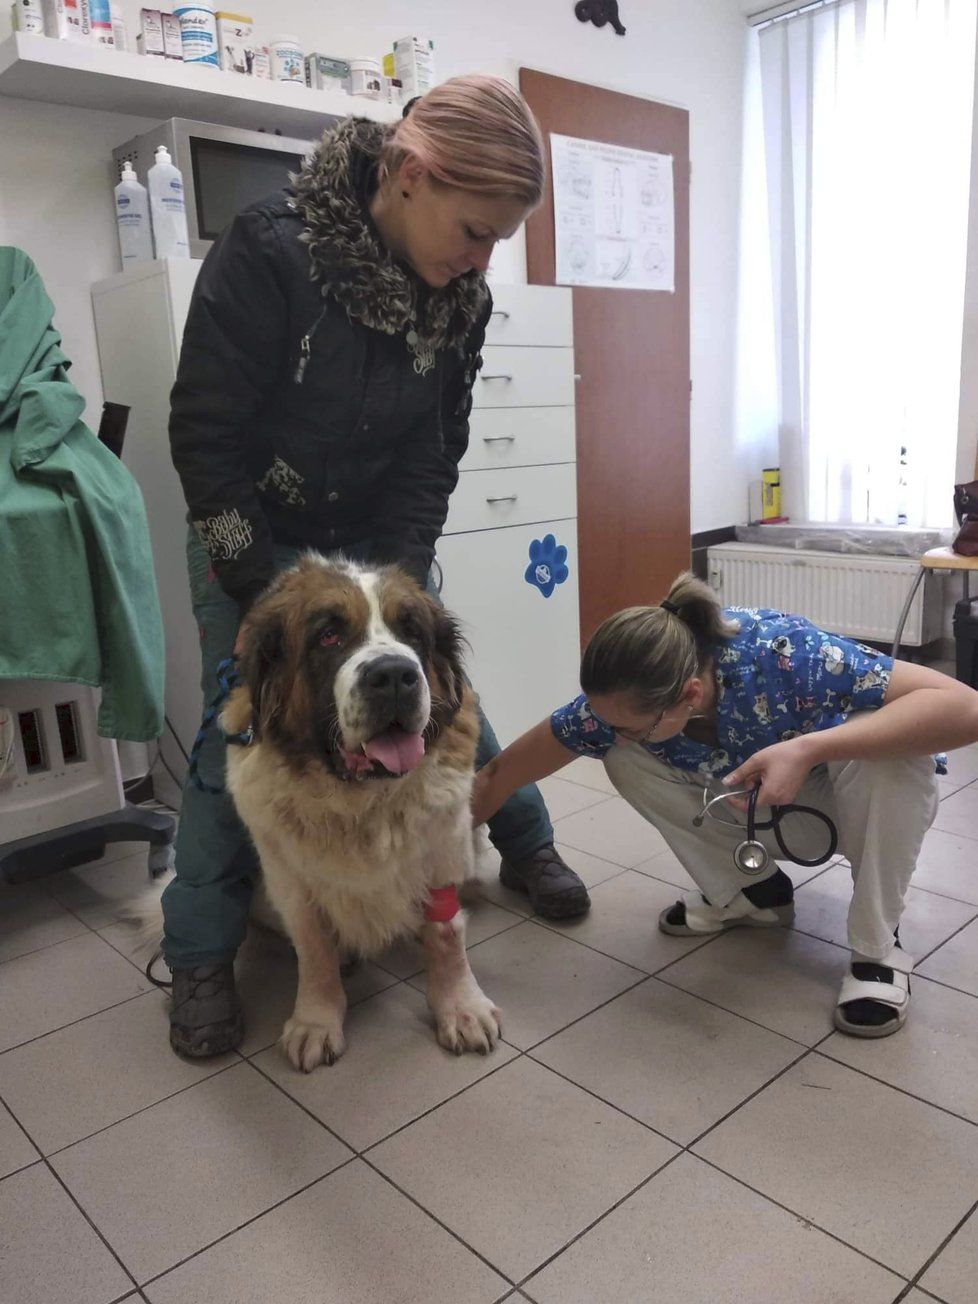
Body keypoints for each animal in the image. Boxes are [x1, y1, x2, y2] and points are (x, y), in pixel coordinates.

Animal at [219, 550, 500, 1069]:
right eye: (328, 636)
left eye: (413, 633)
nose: (394, 676)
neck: (362, 802)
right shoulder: (291, 880)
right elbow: (313, 949)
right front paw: (316, 1020)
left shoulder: (442, 850)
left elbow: (446, 934)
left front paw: (461, 1008)